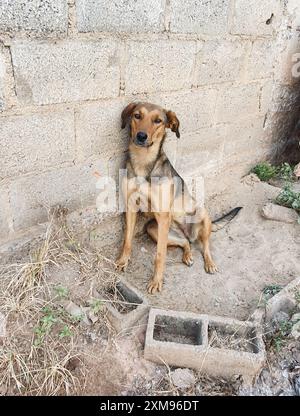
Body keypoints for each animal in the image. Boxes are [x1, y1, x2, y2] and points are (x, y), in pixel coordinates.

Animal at [116, 102, 243, 294]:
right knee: (186, 242)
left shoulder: (162, 215)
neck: (143, 162)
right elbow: (127, 240)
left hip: (202, 215)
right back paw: (188, 255)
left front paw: (156, 281)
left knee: (205, 245)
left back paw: (210, 263)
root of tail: (186, 231)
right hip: (153, 229)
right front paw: (123, 261)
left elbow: (160, 255)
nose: (141, 136)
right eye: (137, 116)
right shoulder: (131, 207)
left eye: (158, 121)